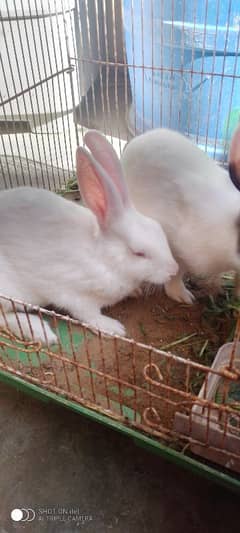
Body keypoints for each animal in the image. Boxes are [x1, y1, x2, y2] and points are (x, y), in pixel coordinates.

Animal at [0, 131, 176, 342]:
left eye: (159, 230)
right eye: (138, 253)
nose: (174, 270)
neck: (105, 258)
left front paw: (136, 291)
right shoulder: (75, 295)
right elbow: (88, 315)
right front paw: (113, 328)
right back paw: (41, 331)